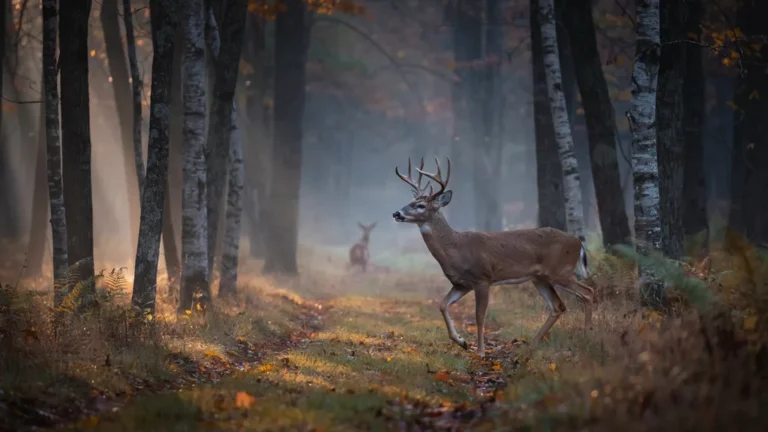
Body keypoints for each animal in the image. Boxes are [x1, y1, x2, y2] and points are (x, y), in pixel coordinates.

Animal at [392, 157, 594, 357]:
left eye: (420, 205)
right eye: (410, 200)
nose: (396, 213)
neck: (456, 248)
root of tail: (578, 242)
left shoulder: (483, 278)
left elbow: (479, 316)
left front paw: (480, 352)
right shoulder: (462, 284)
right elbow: (442, 304)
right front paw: (462, 342)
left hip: (560, 271)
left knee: (588, 292)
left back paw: (586, 338)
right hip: (540, 278)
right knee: (558, 306)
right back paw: (530, 346)